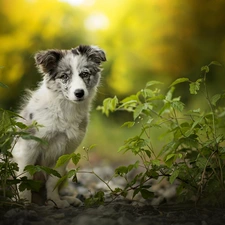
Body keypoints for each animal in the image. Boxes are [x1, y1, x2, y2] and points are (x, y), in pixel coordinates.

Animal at [12, 44, 107, 208]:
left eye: (84, 74)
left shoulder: (66, 151)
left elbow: (53, 180)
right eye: (64, 76)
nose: (79, 93)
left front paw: (55, 201)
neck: (65, 108)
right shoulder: (28, 147)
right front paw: (24, 203)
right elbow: (25, 177)